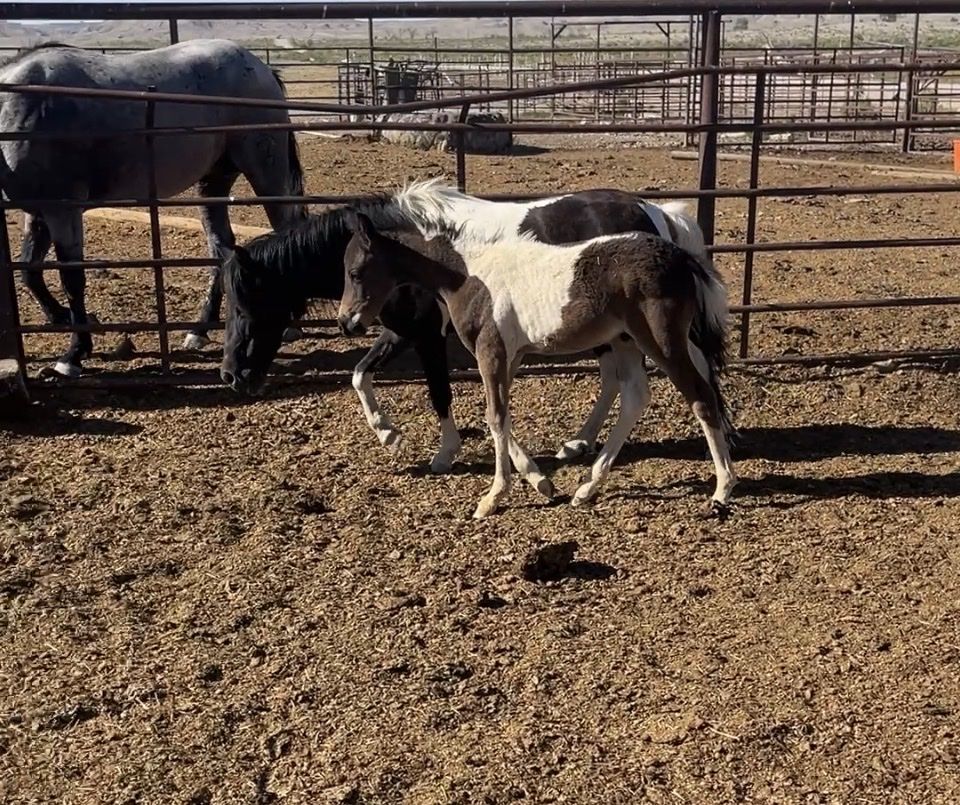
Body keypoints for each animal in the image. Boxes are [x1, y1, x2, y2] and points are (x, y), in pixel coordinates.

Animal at [0, 39, 308, 377]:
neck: (20, 107)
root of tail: (261, 68)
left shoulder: (63, 210)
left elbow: (72, 279)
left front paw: (74, 354)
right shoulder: (38, 211)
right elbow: (29, 270)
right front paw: (63, 317)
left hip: (265, 173)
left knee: (285, 228)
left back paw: (291, 324)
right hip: (214, 182)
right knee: (221, 247)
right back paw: (200, 330)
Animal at [220, 179, 709, 473]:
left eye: (244, 306)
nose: (230, 375)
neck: (411, 247)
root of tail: (654, 212)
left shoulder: (424, 334)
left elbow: (440, 392)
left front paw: (445, 452)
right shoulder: (400, 332)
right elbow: (360, 374)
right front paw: (389, 434)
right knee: (614, 380)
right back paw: (578, 443)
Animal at [337, 214, 737, 519]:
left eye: (355, 272)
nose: (346, 322)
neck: (468, 275)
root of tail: (682, 257)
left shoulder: (491, 351)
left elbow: (496, 417)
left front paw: (492, 498)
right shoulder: (511, 356)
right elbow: (501, 417)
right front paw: (541, 482)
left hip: (661, 341)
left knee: (700, 396)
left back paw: (722, 489)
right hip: (626, 341)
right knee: (636, 398)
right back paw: (587, 488)